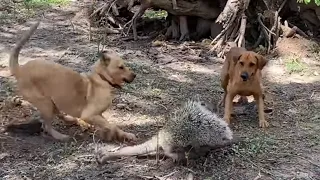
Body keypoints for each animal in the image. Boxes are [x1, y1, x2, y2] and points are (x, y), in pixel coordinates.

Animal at [8, 20, 136, 142]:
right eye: (121, 67)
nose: (135, 75)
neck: (102, 78)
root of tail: (20, 69)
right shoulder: (89, 115)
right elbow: (112, 126)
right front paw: (111, 134)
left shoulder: (98, 115)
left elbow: (113, 126)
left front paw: (125, 135)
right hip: (46, 104)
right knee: (46, 125)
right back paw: (61, 136)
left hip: (52, 103)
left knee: (57, 115)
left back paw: (71, 120)